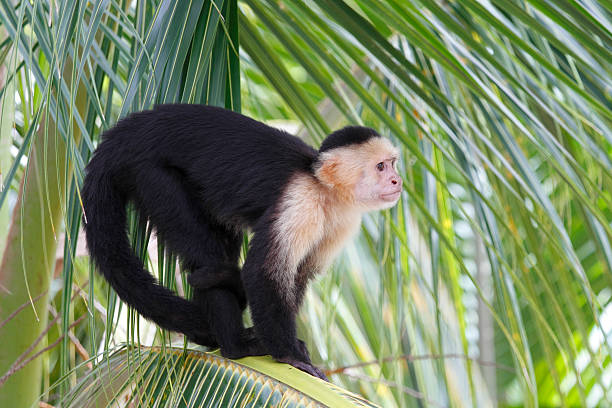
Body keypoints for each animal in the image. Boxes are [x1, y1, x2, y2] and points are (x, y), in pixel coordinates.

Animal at [82, 104, 402, 380]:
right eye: (380, 167)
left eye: (393, 164)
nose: (398, 181)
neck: (324, 188)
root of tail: (128, 132)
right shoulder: (300, 202)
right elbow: (263, 272)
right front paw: (288, 354)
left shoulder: (344, 221)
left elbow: (299, 274)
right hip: (150, 175)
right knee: (206, 259)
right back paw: (235, 345)